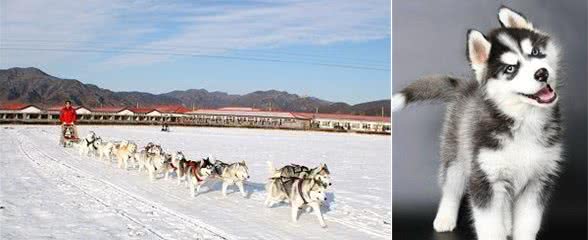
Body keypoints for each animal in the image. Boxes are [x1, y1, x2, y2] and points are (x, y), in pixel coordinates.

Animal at [392, 6, 564, 239]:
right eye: (510, 69)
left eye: (536, 52)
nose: (542, 73)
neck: (523, 120)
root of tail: (466, 86)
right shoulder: (484, 177)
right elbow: (490, 225)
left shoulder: (538, 180)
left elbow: (527, 223)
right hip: (457, 156)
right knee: (451, 187)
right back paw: (445, 219)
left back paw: (507, 224)